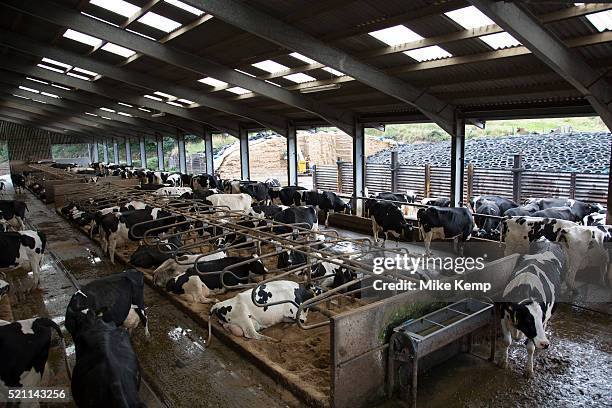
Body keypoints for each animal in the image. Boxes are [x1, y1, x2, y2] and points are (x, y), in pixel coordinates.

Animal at [500, 239, 568, 380]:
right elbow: (507, 341)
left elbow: (530, 348)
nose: (545, 344)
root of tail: (548, 241)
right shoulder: (503, 317)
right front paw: (503, 362)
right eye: (528, 321)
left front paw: (529, 370)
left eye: (539, 318)